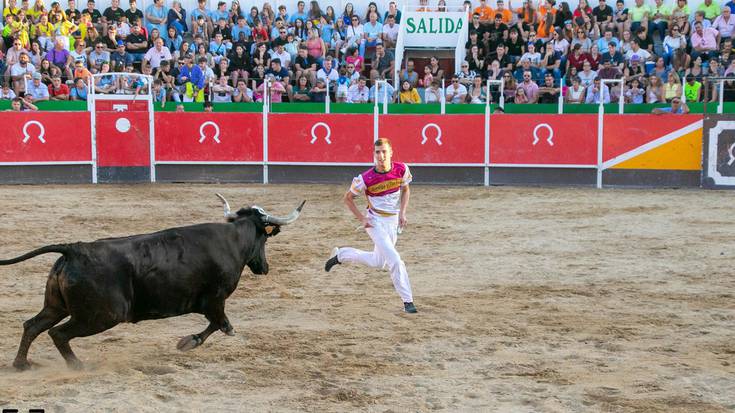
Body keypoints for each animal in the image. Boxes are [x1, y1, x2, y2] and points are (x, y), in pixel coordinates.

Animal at [0, 194, 306, 370]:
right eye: (265, 238)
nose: (264, 268)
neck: (232, 240)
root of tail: (74, 249)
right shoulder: (214, 299)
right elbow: (221, 324)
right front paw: (190, 341)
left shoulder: (208, 303)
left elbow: (216, 324)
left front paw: (188, 341)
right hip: (102, 316)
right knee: (58, 334)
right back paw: (78, 366)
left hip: (56, 306)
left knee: (33, 325)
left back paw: (21, 364)